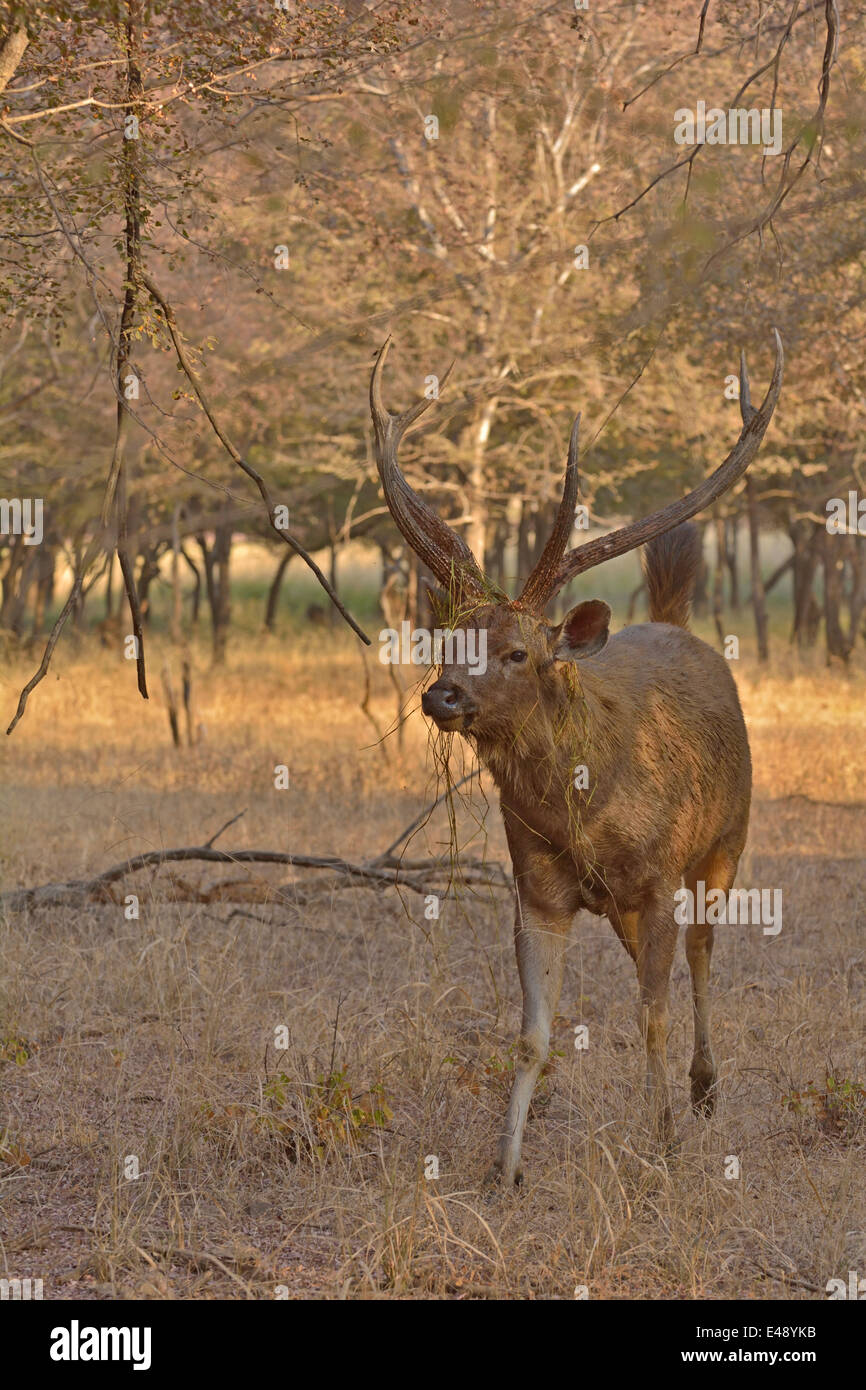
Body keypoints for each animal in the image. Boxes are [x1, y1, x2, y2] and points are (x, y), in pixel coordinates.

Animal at [369, 330, 783, 1178]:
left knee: (702, 952)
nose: (441, 697)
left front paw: (662, 1142)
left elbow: (654, 1015)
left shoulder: (659, 875)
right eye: (446, 642)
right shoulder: (537, 885)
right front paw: (505, 1165)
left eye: (519, 652)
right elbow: (531, 1034)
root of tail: (676, 621)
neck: (585, 812)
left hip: (727, 837)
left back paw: (704, 1088)